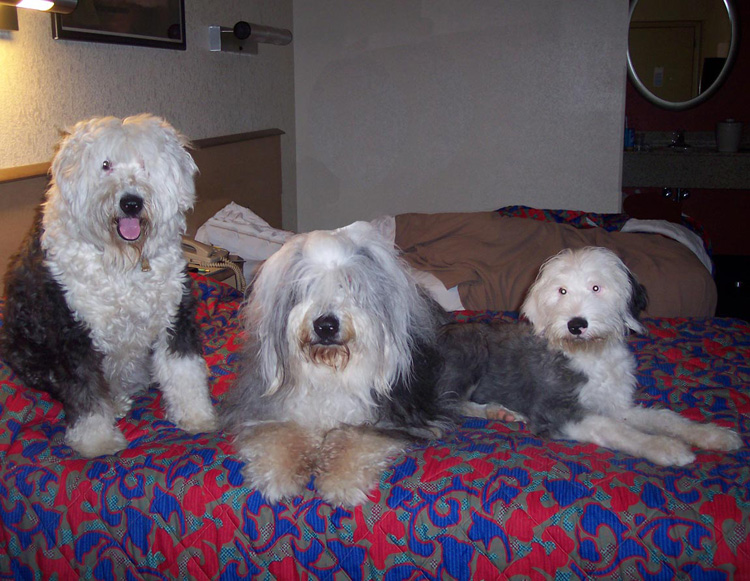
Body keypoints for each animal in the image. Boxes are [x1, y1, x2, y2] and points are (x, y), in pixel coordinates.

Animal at [1, 114, 217, 458]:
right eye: (105, 164)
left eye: (144, 164)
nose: (131, 203)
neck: (123, 264)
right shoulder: (73, 332)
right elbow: (85, 391)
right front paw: (97, 441)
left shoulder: (174, 316)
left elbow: (185, 372)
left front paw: (197, 417)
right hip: (25, 350)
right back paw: (112, 405)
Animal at [221, 221, 458, 506]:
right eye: (307, 285)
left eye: (349, 283)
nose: (325, 325)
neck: (331, 371)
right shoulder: (269, 410)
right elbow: (281, 433)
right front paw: (278, 474)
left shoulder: (394, 419)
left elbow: (355, 437)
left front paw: (340, 482)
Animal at [441, 246, 742, 466]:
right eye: (561, 290)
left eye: (596, 288)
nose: (576, 325)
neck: (589, 355)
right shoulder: (557, 411)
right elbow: (616, 429)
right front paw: (666, 447)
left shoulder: (615, 406)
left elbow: (665, 418)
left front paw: (715, 434)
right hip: (470, 352)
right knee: (450, 403)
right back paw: (496, 410)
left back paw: (499, 411)